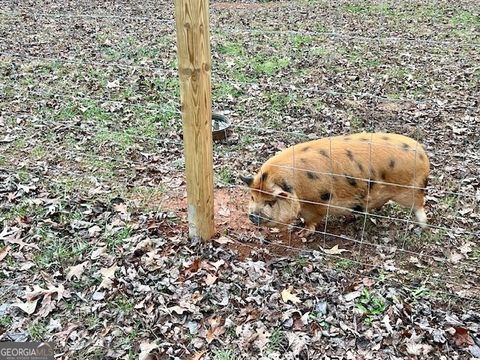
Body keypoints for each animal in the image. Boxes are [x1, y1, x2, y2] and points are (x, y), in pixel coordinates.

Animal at [242, 132, 430, 233]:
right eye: (252, 197)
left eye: (271, 201)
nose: (252, 216)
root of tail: (423, 154)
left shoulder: (315, 204)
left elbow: (311, 221)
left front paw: (302, 233)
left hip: (410, 189)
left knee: (420, 204)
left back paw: (423, 225)